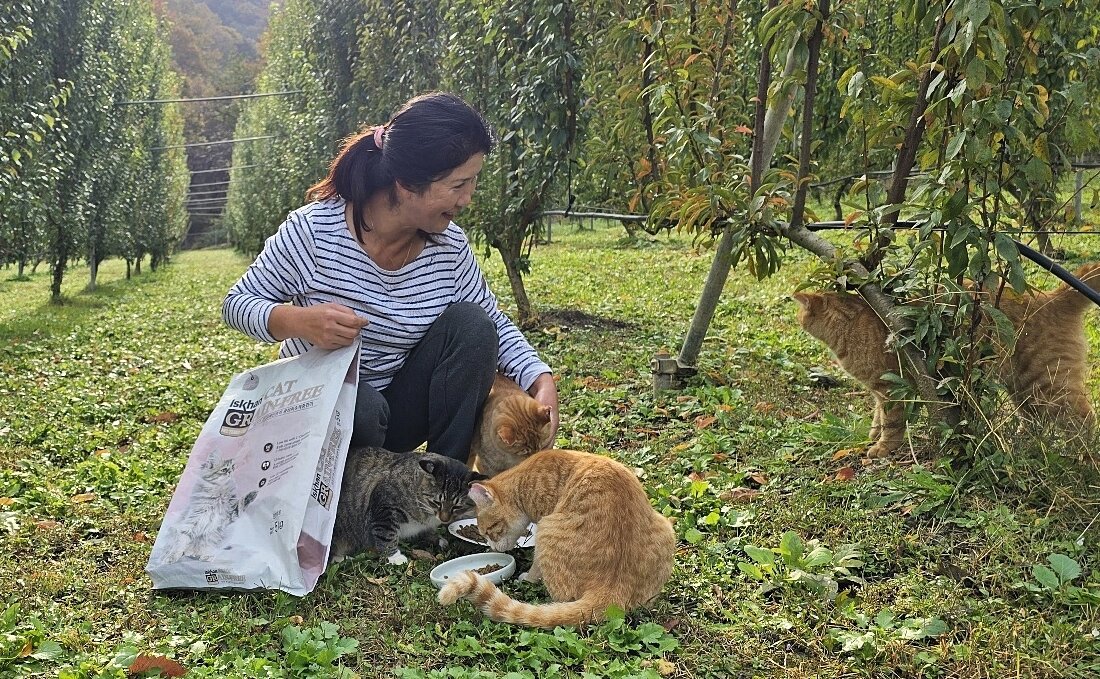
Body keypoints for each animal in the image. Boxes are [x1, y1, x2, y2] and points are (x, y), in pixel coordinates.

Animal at [330, 446, 486, 563]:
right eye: (437, 502)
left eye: (457, 506)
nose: (444, 519)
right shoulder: (385, 509)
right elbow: (387, 535)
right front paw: (394, 557)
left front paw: (436, 539)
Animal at [433, 446, 673, 629]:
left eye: (489, 531)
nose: (494, 549)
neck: (524, 481)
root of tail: (612, 589)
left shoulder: (542, 521)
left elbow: (536, 565)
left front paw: (528, 577)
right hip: (666, 528)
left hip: (547, 529)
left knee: (562, 600)